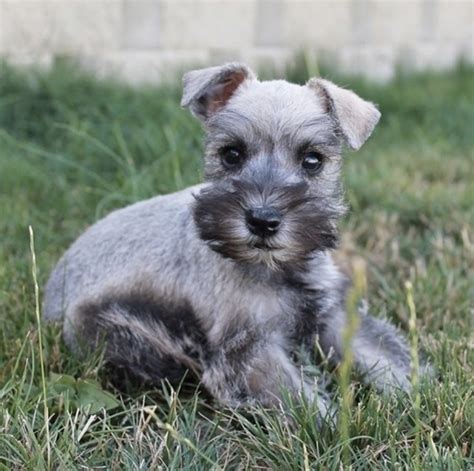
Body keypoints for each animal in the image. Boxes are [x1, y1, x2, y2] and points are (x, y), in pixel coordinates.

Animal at [43, 61, 430, 416]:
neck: (276, 268)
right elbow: (297, 396)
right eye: (231, 154)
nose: (262, 221)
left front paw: (414, 399)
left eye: (312, 160)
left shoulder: (332, 313)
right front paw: (332, 430)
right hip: (99, 327)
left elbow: (380, 357)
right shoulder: (251, 346)